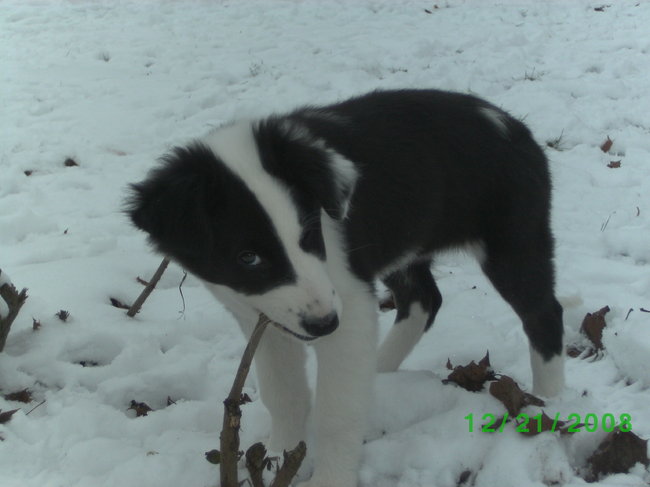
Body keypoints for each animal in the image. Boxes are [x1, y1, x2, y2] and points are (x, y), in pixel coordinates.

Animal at [127, 89, 565, 487]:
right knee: (424, 301)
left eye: (309, 234)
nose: (323, 325)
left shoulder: (347, 302)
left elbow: (336, 411)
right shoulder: (263, 316)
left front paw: (328, 479)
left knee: (544, 312)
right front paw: (277, 457)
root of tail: (516, 127)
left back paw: (550, 404)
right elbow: (283, 393)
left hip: (513, 240)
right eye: (247, 257)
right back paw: (380, 369)